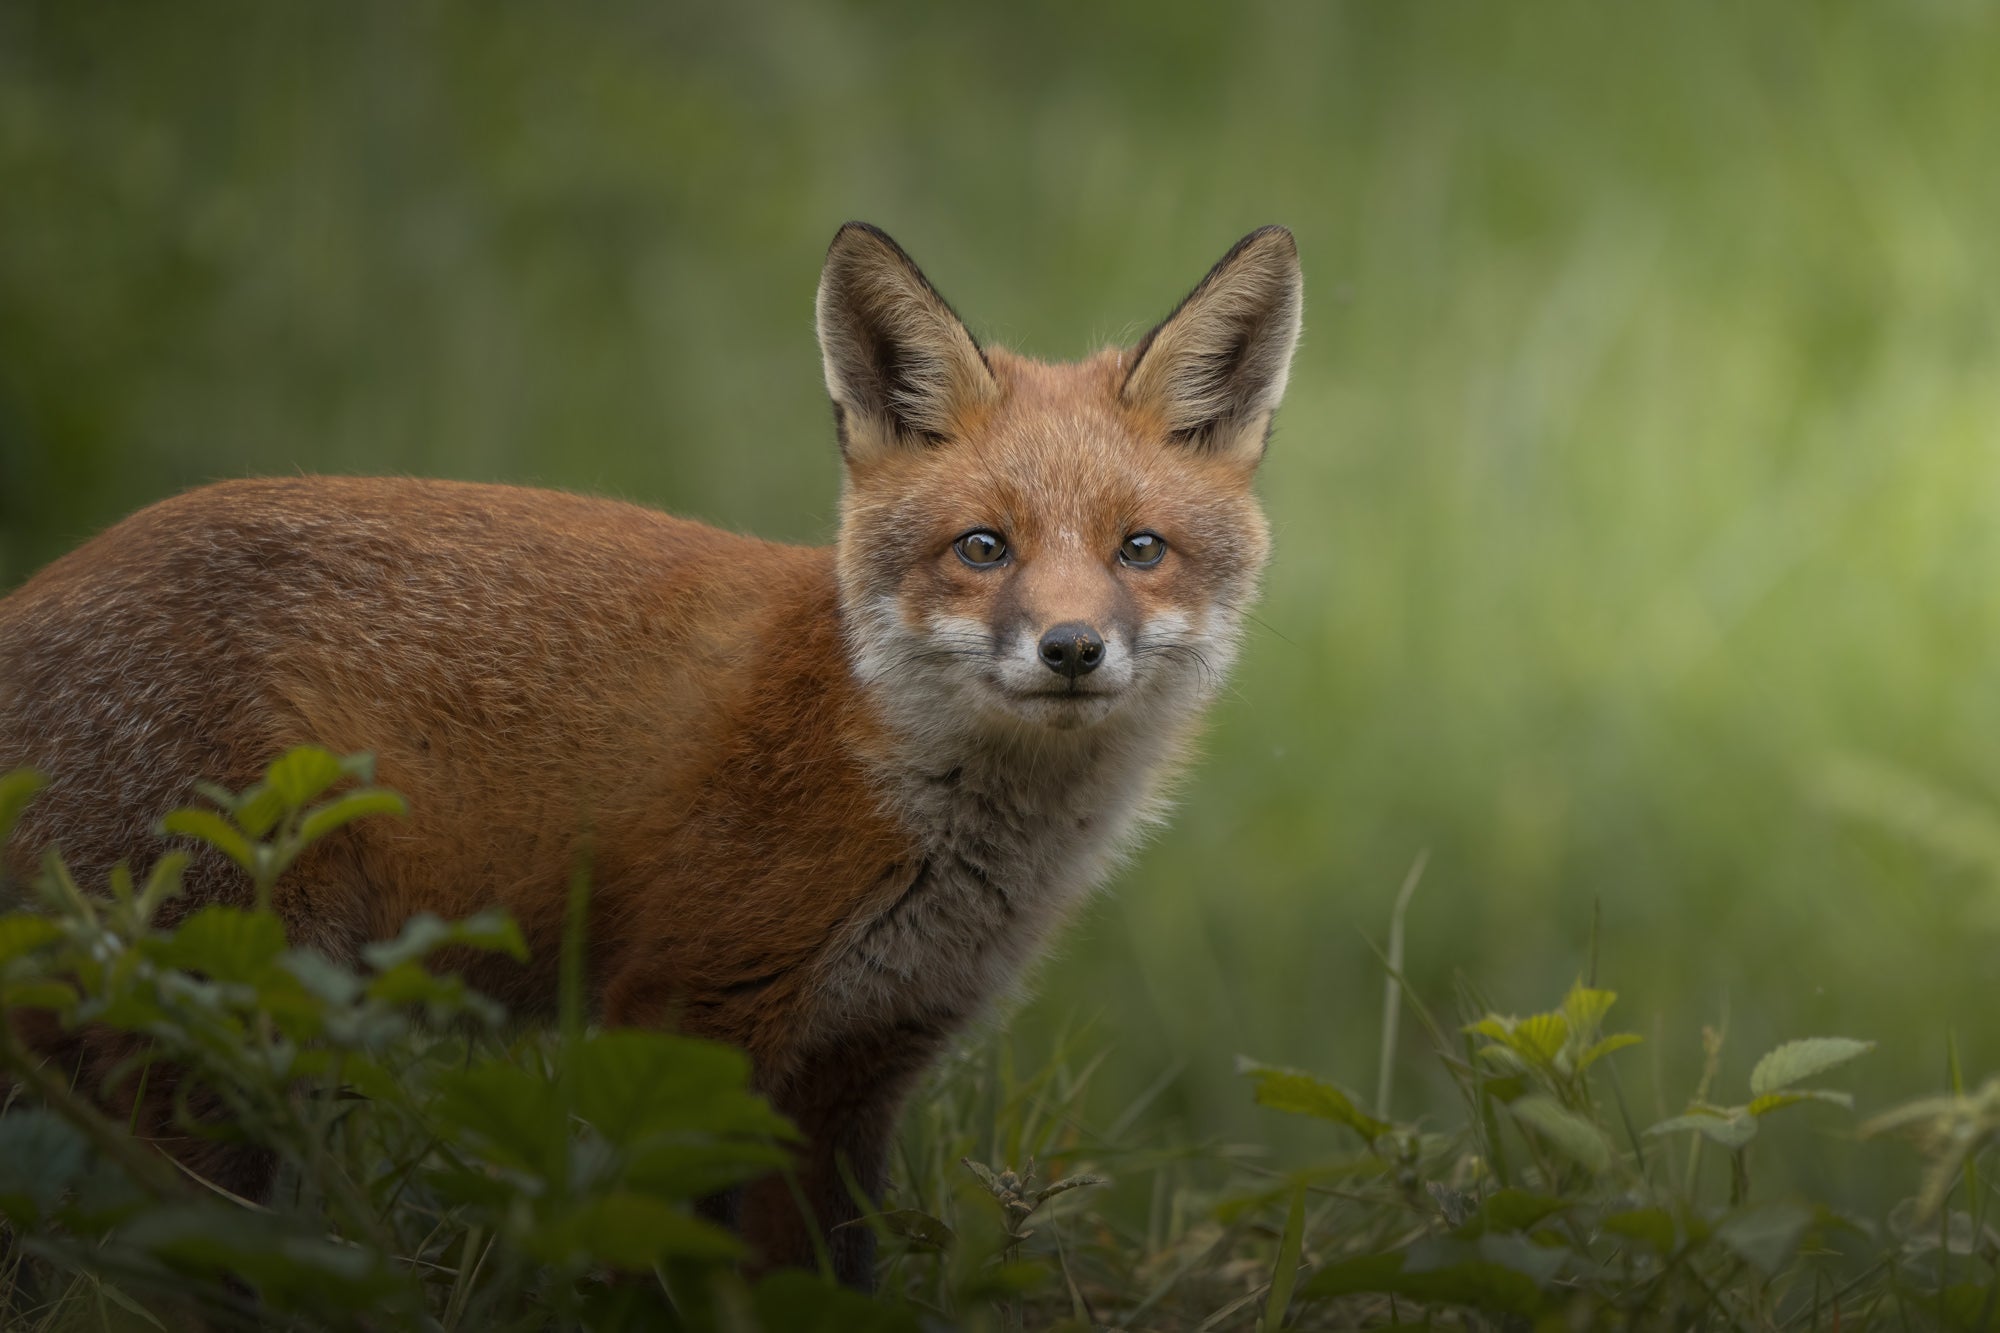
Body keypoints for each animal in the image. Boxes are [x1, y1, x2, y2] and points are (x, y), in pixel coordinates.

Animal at [0, 220, 1304, 1288]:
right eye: (983, 547)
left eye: (1139, 549)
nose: (1071, 648)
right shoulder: (679, 1017)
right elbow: (653, 1257)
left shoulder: (856, 1073)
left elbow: (815, 1285)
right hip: (222, 1031)